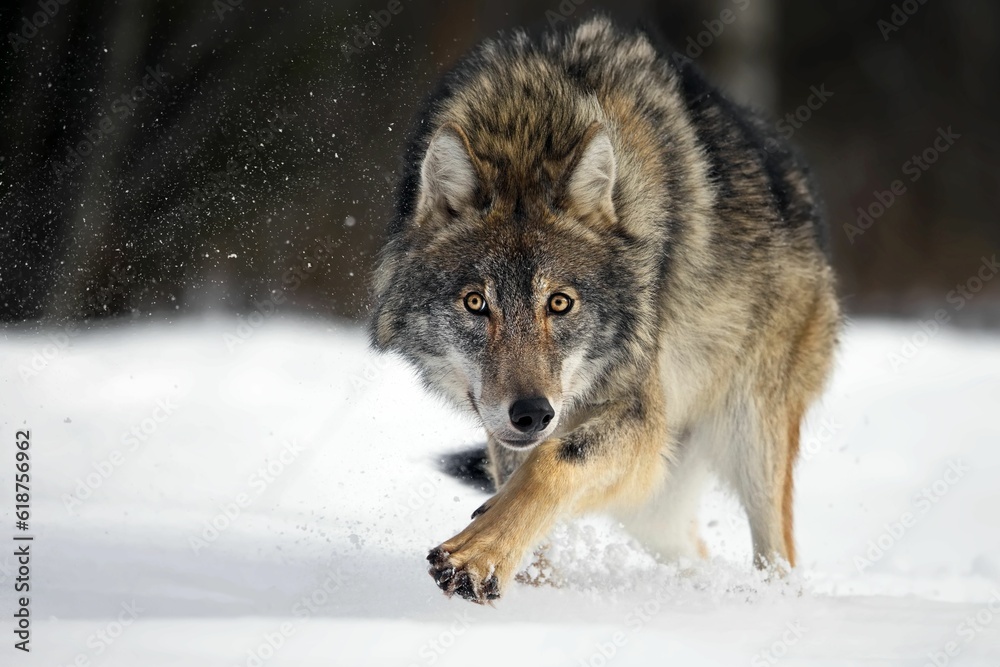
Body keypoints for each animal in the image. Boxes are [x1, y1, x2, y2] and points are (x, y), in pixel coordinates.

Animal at [370, 16, 839, 604]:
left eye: (560, 303)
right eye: (476, 303)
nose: (532, 413)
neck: (528, 126)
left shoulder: (640, 420)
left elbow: (551, 463)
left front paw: (477, 556)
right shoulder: (522, 437)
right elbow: (525, 486)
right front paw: (528, 582)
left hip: (749, 436)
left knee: (779, 557)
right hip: (657, 499)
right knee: (694, 550)